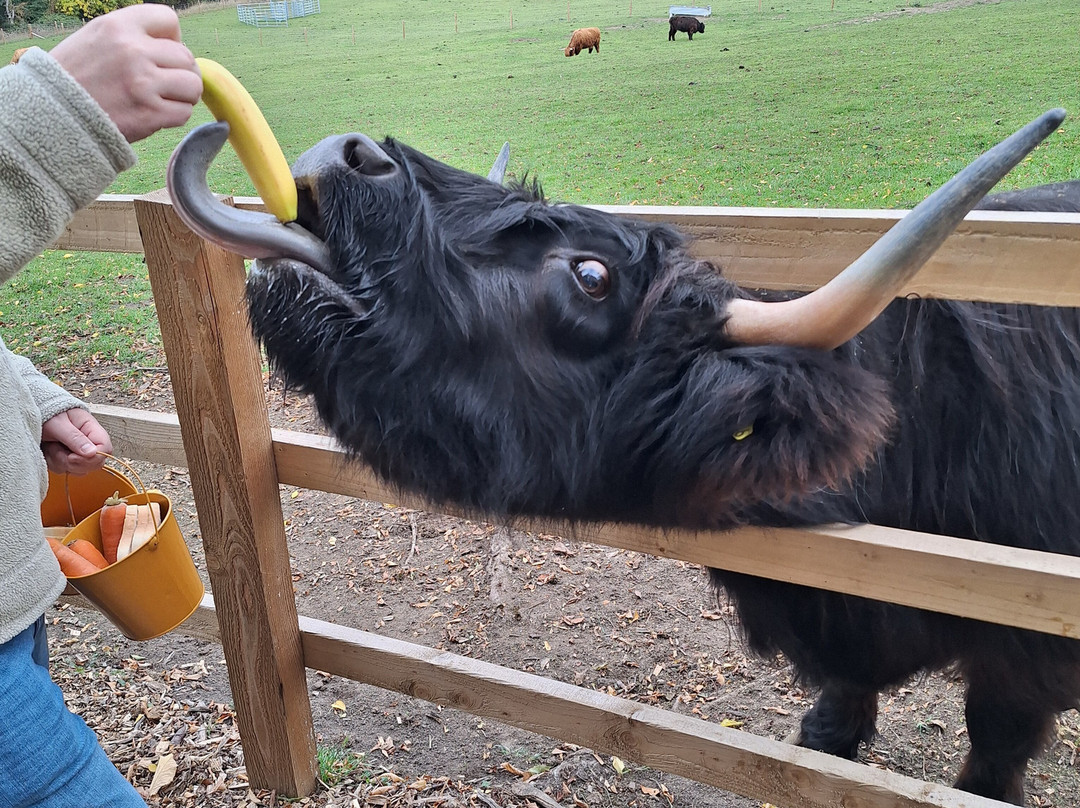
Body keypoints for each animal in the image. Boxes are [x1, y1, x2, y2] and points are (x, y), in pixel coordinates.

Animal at [167, 109, 1071, 804]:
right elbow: (845, 693)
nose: (353, 152)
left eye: (592, 276)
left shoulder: (1026, 654)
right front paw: (823, 740)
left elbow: (995, 740)